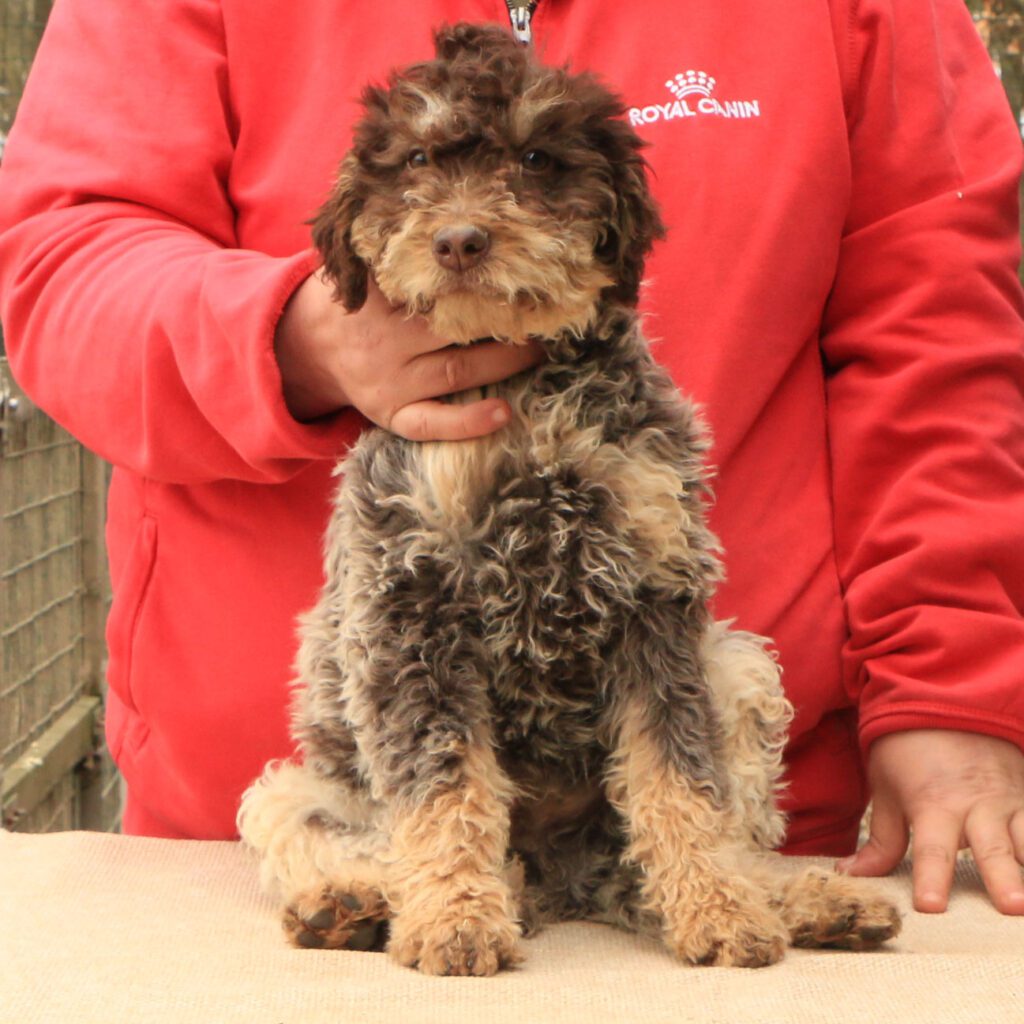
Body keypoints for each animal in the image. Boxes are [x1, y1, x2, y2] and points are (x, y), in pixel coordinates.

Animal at [237, 24, 897, 974]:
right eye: (419, 159)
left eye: (537, 158)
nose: (461, 240)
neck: (526, 405)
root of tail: (559, 874)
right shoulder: (412, 610)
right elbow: (445, 787)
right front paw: (454, 919)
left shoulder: (654, 600)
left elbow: (678, 780)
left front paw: (720, 911)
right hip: (302, 786)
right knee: (333, 833)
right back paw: (356, 904)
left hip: (734, 667)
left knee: (697, 835)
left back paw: (807, 902)